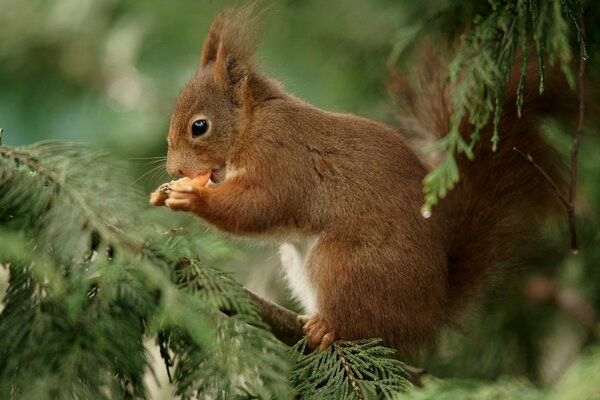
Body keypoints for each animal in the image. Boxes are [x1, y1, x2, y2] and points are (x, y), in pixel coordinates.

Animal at [150, 6, 568, 354]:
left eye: (199, 127)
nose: (174, 170)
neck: (252, 125)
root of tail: (430, 312)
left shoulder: (282, 160)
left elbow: (259, 207)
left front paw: (191, 198)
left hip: (343, 265)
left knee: (365, 325)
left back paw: (328, 328)